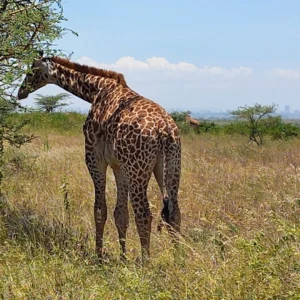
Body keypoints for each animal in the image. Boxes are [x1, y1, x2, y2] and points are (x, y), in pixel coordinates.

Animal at [17, 52, 182, 262]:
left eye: (32, 70)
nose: (21, 92)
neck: (96, 90)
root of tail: (165, 131)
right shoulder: (119, 166)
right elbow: (120, 213)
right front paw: (122, 257)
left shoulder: (94, 158)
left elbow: (99, 210)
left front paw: (99, 256)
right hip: (170, 166)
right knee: (174, 212)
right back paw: (179, 257)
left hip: (138, 169)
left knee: (144, 214)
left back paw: (145, 262)